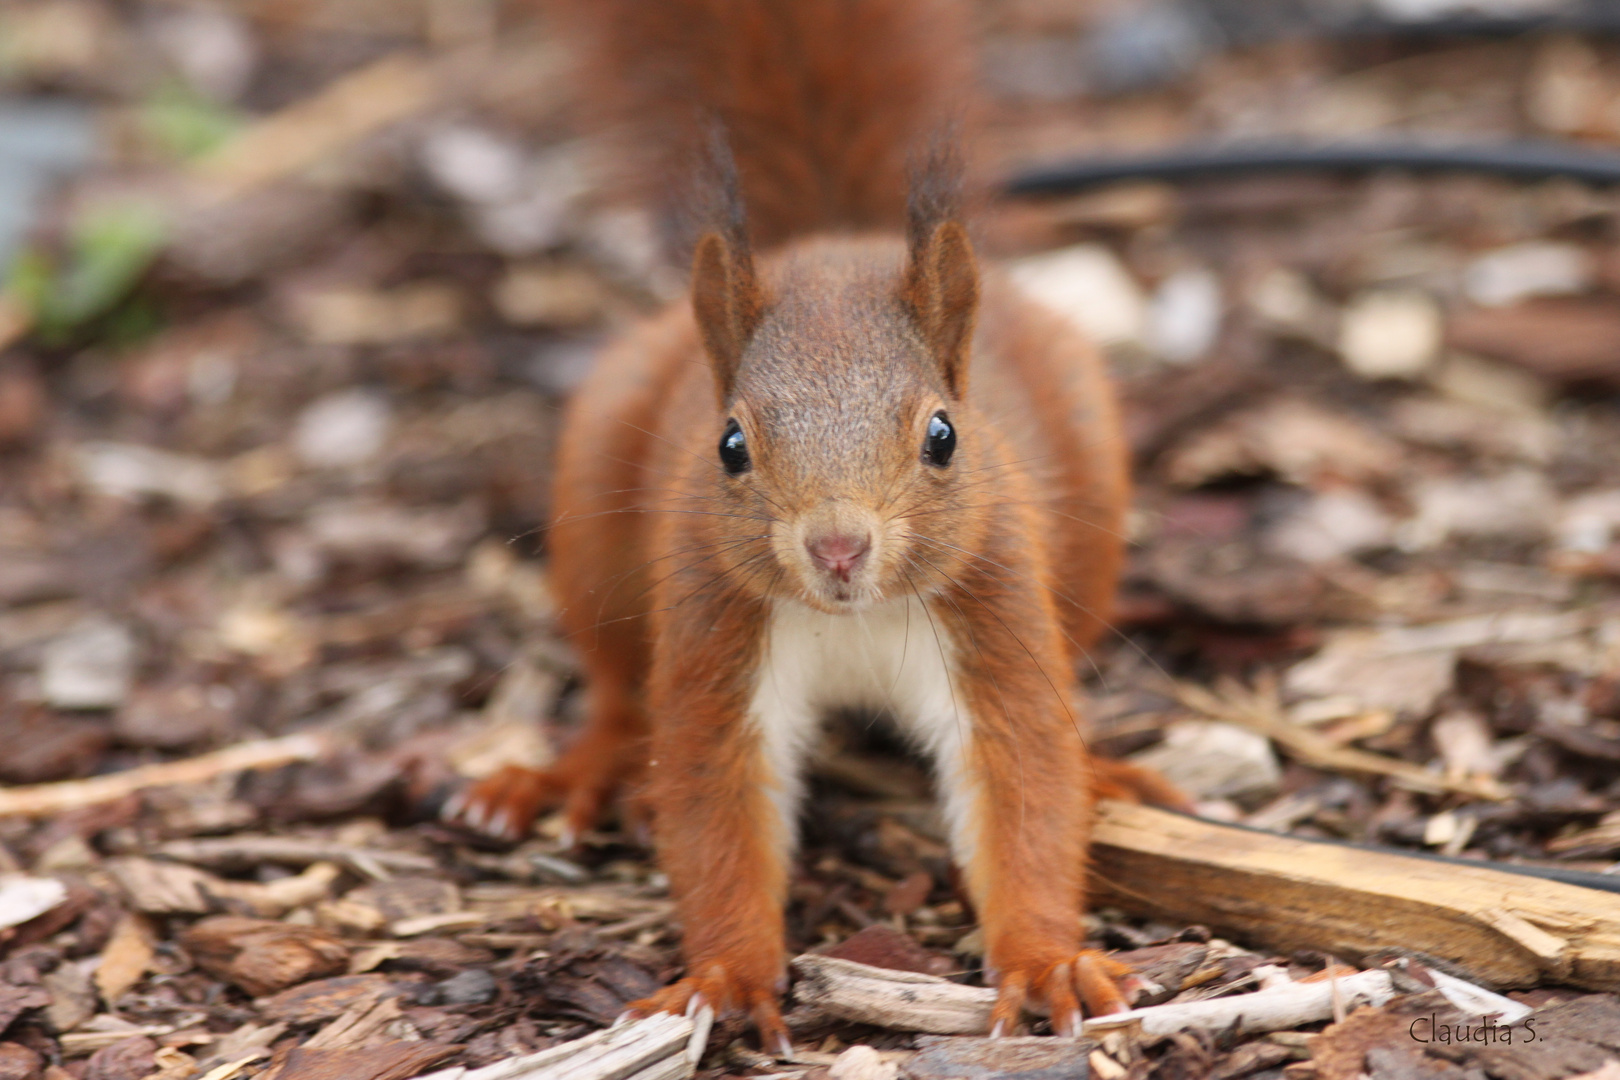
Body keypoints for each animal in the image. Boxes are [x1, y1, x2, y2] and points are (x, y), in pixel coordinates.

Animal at [443, 0, 1192, 1049]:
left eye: (943, 435)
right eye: (729, 445)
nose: (838, 547)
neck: (856, 619)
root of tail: (838, 238)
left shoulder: (995, 609)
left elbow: (1023, 782)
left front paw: (1050, 960)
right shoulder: (715, 630)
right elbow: (715, 800)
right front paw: (725, 976)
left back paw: (1108, 774)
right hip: (596, 508)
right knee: (617, 687)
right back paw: (573, 773)